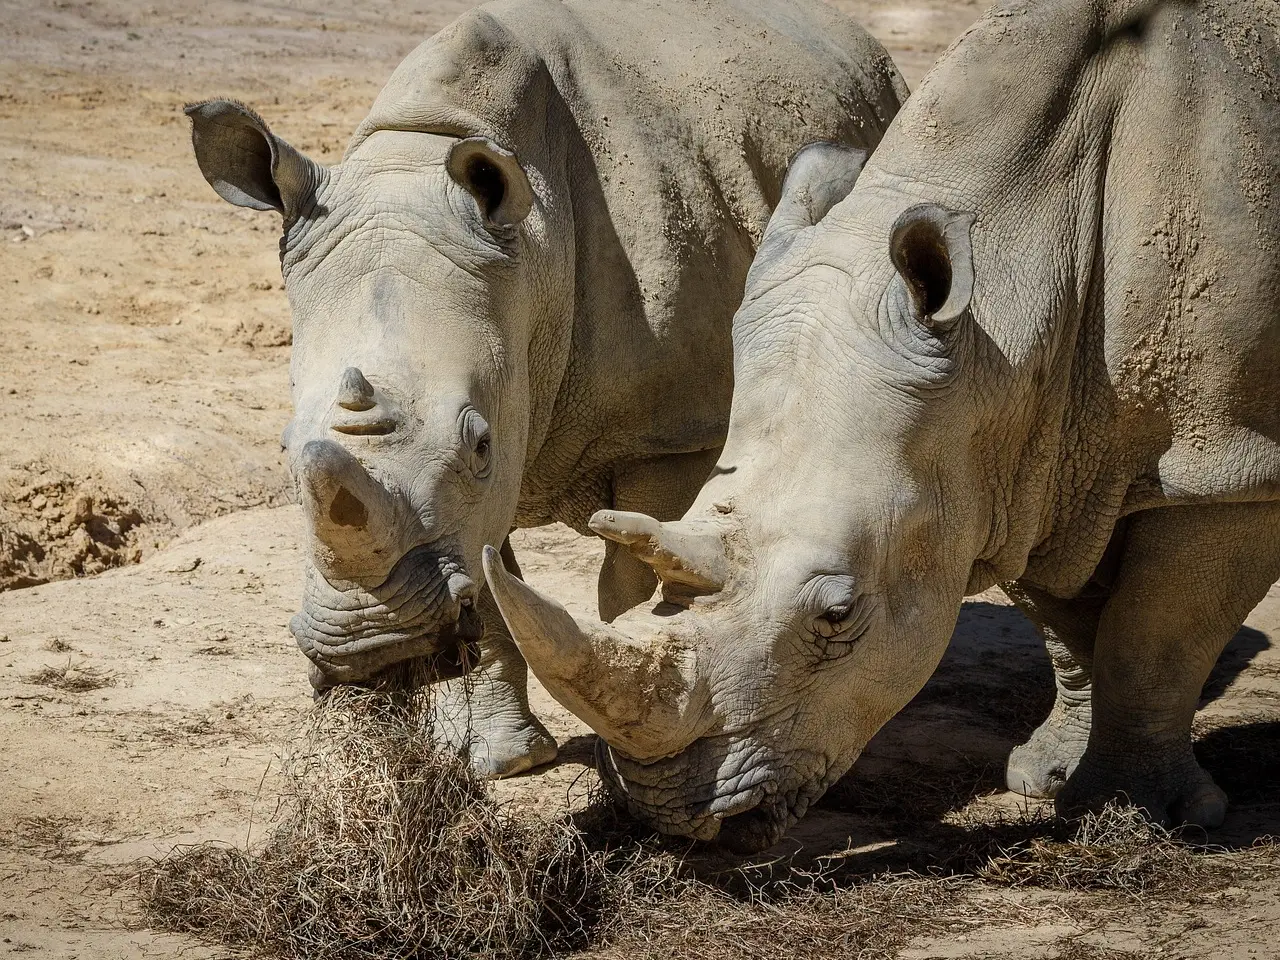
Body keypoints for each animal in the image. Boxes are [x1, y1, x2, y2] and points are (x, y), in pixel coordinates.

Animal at [185, 0, 907, 775]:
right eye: (284, 447)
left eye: (478, 444)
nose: (371, 652)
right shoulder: (501, 415)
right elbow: (492, 579)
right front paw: (503, 762)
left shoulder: (671, 430)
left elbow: (638, 574)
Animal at [486, 0, 1280, 850]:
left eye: (837, 615)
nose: (669, 809)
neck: (1011, 311)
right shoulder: (1024, 458)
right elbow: (1067, 627)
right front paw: (1047, 780)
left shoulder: (1224, 465)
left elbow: (1153, 636)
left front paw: (1133, 816)